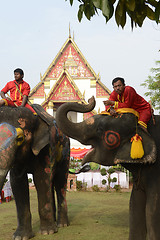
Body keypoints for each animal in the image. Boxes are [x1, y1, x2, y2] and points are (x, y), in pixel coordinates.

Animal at [0, 105, 70, 240]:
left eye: (20, 139)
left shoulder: (46, 149)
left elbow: (41, 179)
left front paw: (48, 232)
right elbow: (17, 183)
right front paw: (20, 237)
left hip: (65, 151)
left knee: (60, 182)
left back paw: (62, 225)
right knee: (51, 182)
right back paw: (55, 223)